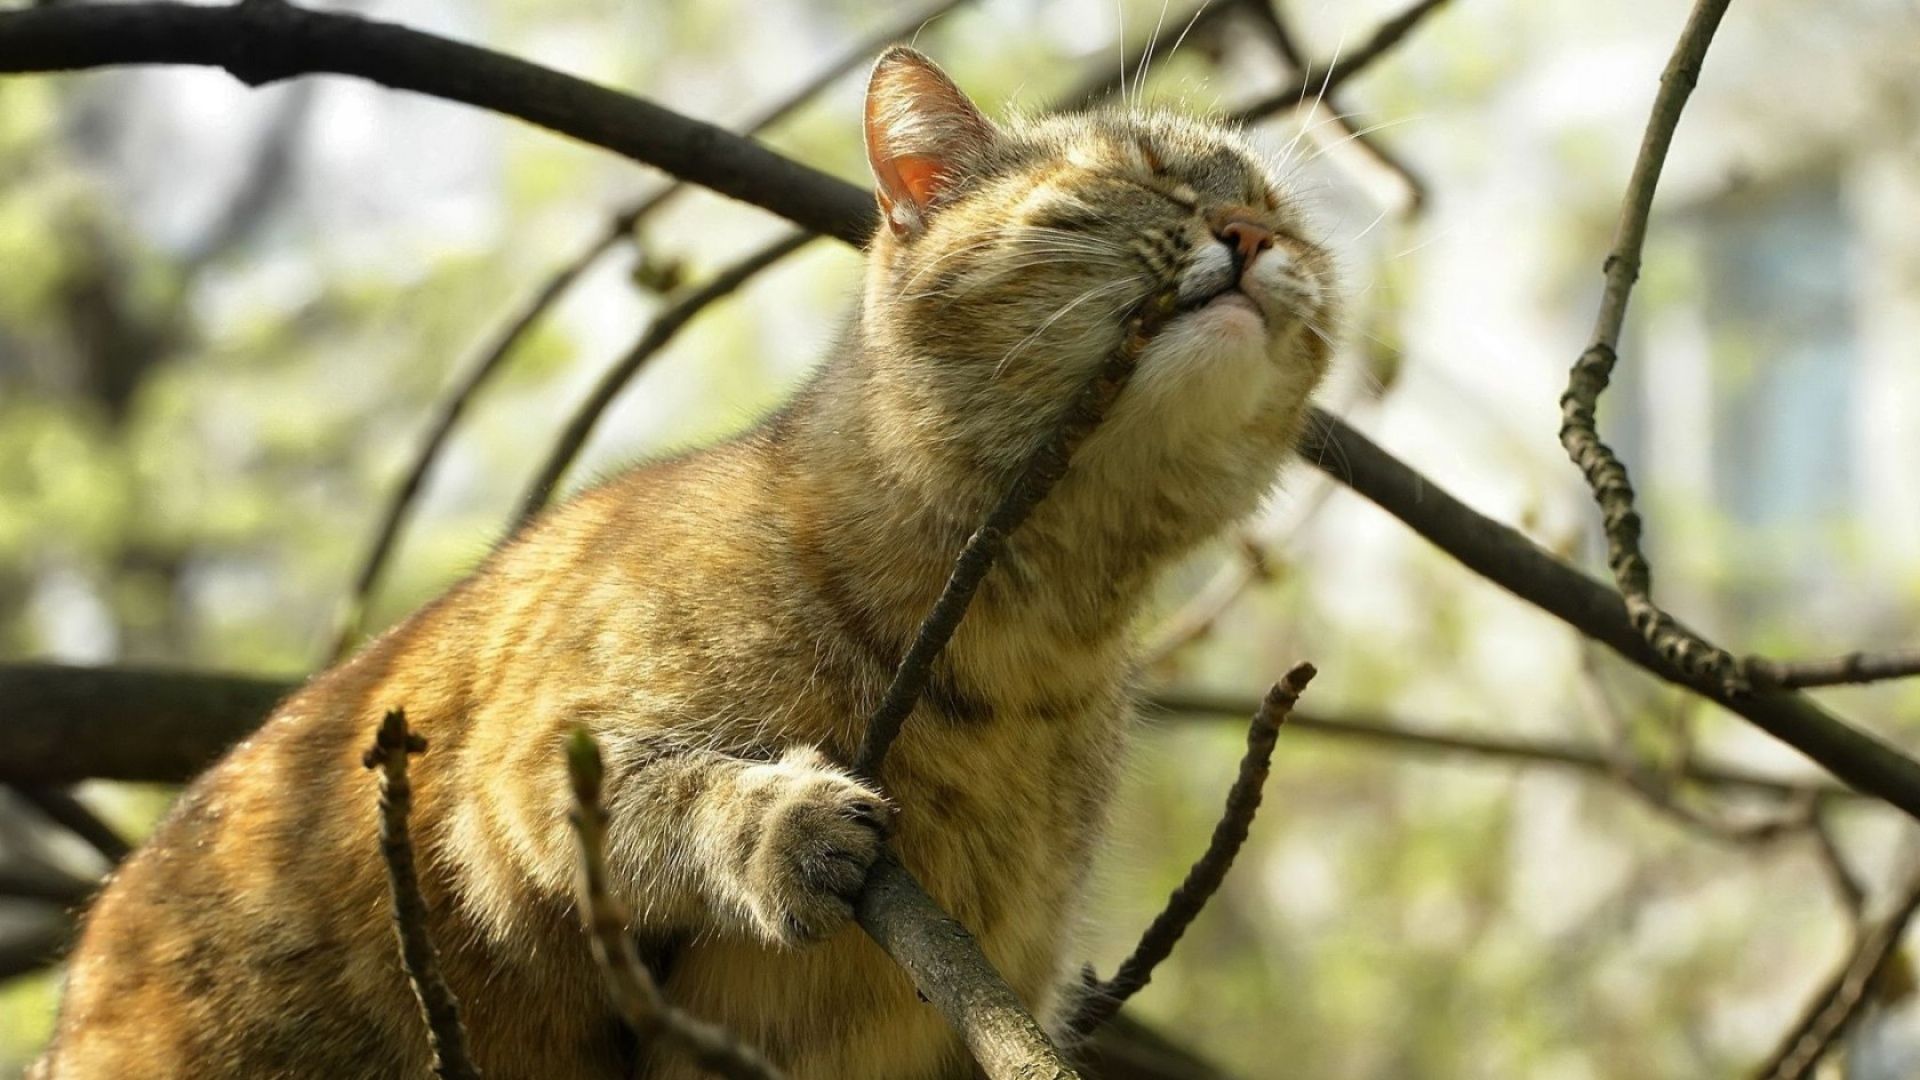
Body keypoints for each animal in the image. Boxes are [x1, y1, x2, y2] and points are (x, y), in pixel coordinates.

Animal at [37, 44, 1344, 1076]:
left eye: (1285, 219)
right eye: (1134, 177)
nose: (1249, 237)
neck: (1030, 637)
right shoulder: (513, 780)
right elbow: (664, 794)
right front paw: (779, 825)